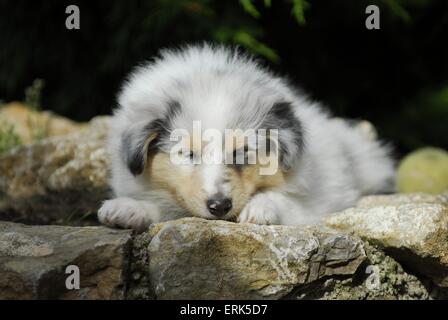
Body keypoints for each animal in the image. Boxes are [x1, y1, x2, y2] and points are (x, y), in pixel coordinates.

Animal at [99, 43, 396, 231]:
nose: (219, 206)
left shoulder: (319, 203)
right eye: (189, 154)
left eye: (241, 152)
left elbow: (283, 200)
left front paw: (259, 209)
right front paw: (127, 209)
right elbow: (167, 206)